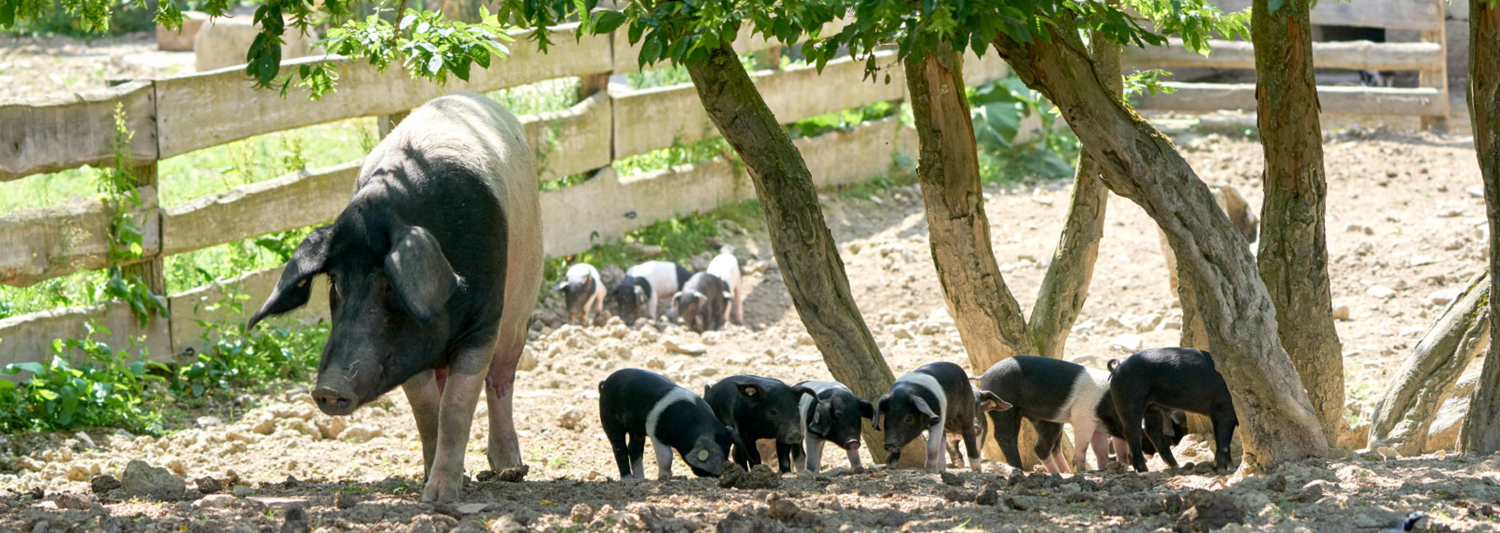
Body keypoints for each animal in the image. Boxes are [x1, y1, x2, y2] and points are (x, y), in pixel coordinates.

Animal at [247, 93, 546, 504]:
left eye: (390, 284)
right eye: (335, 283)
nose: (328, 388)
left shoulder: (484, 321)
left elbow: (457, 405)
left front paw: (440, 498)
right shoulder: (407, 355)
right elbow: (427, 410)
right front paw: (431, 485)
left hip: (520, 305)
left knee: (501, 379)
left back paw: (510, 471)